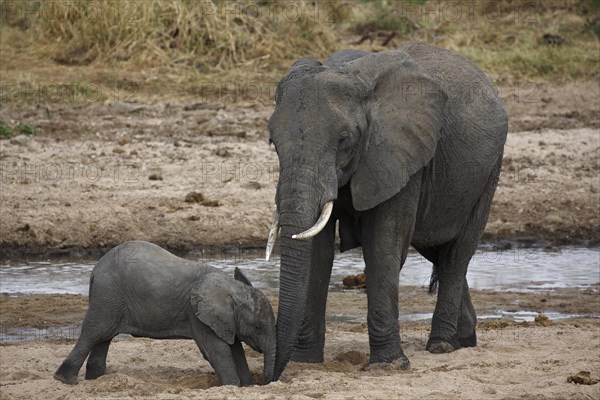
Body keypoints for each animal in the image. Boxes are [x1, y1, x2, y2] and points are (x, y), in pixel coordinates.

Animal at [53, 241, 276, 388]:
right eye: (257, 327)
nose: (265, 382)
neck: (231, 287)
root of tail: (95, 270)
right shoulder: (197, 315)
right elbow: (217, 350)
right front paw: (232, 387)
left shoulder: (225, 321)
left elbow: (235, 348)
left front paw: (246, 386)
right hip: (108, 296)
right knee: (95, 333)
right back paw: (66, 380)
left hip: (109, 300)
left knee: (103, 337)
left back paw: (97, 380)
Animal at [266, 42, 506, 380]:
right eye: (272, 142)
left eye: (343, 140)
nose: (269, 377)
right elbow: (316, 252)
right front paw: (305, 361)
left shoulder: (398, 153)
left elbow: (382, 245)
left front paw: (387, 366)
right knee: (436, 250)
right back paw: (464, 340)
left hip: (487, 173)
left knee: (456, 254)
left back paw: (442, 345)